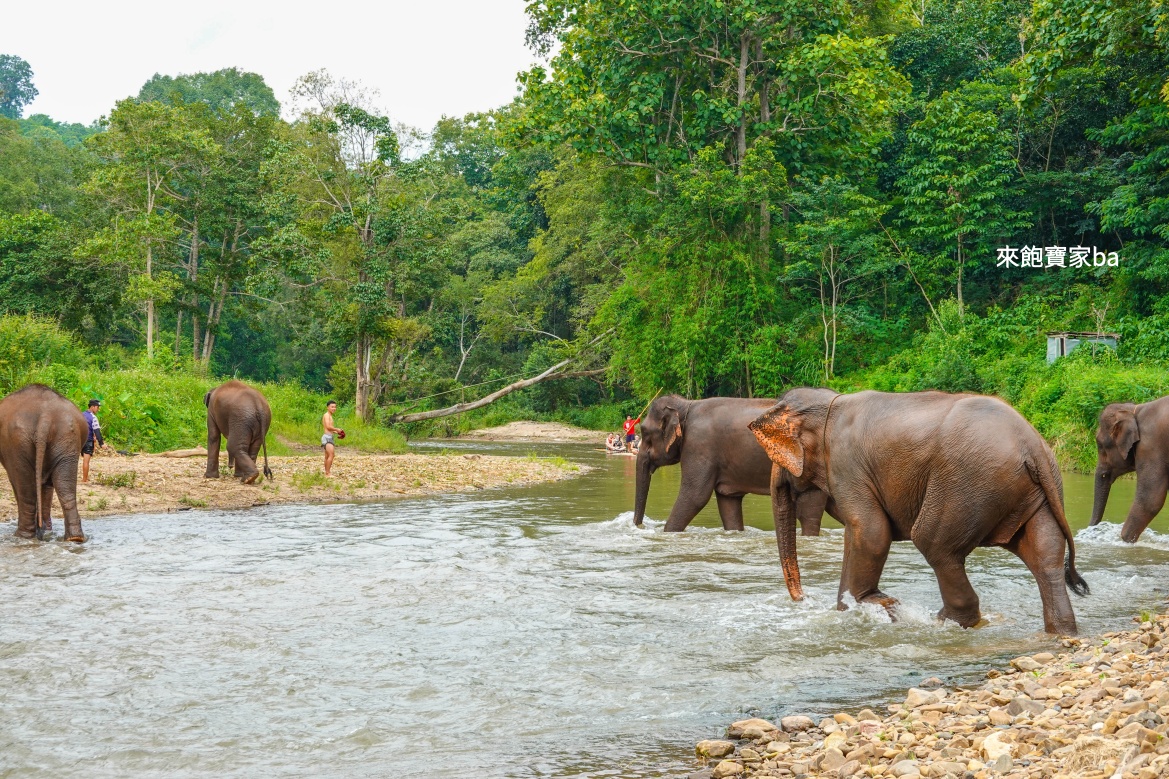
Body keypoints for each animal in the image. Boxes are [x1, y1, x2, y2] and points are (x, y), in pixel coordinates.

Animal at [0, 384, 87, 542]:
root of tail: (45, 417)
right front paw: (45, 530)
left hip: (17, 443)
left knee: (24, 487)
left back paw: (23, 536)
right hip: (67, 437)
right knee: (65, 486)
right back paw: (74, 538)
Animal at [633, 395, 826, 534]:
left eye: (645, 433)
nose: (638, 526)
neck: (686, 405)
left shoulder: (699, 445)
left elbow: (695, 496)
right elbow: (728, 502)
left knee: (809, 512)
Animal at [748, 388, 1088, 635]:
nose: (802, 598)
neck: (831, 402)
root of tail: (1032, 445)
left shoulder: (846, 466)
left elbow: (869, 530)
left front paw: (874, 605)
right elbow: (856, 535)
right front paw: (849, 610)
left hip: (967, 484)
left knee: (934, 544)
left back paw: (942, 622)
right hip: (1033, 491)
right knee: (1044, 555)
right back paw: (1060, 631)